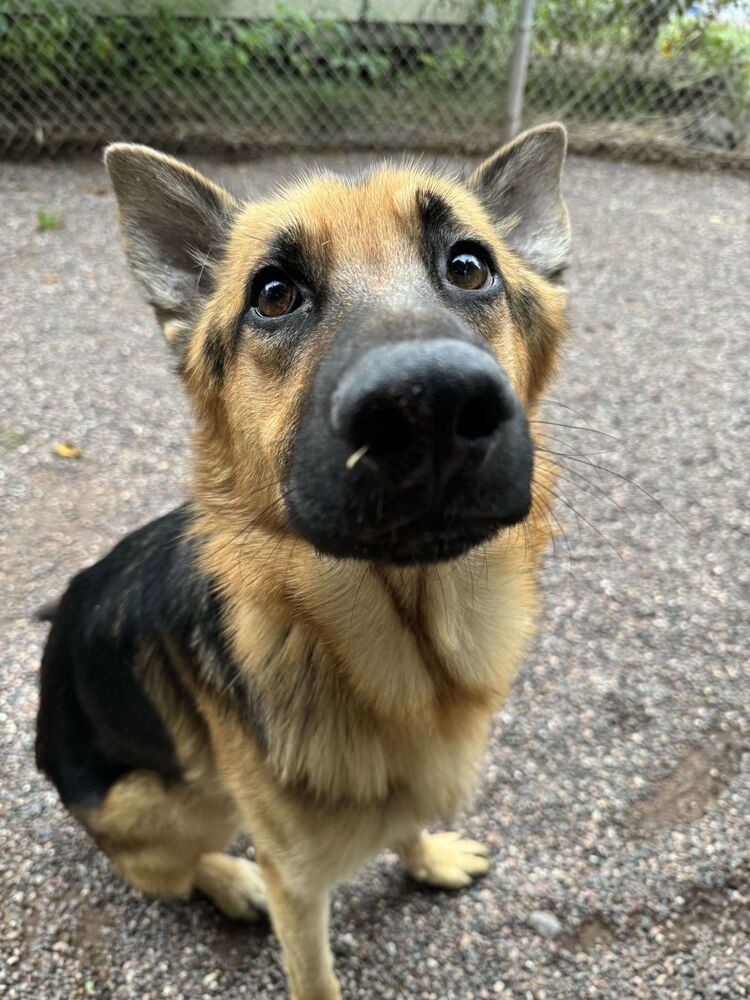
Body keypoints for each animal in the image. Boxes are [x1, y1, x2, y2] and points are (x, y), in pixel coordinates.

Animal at [36, 125, 568, 1000]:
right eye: (275, 294)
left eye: (468, 265)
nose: (429, 406)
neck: (405, 656)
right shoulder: (298, 886)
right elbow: (313, 974)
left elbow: (407, 818)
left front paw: (426, 855)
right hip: (169, 801)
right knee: (159, 864)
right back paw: (228, 879)